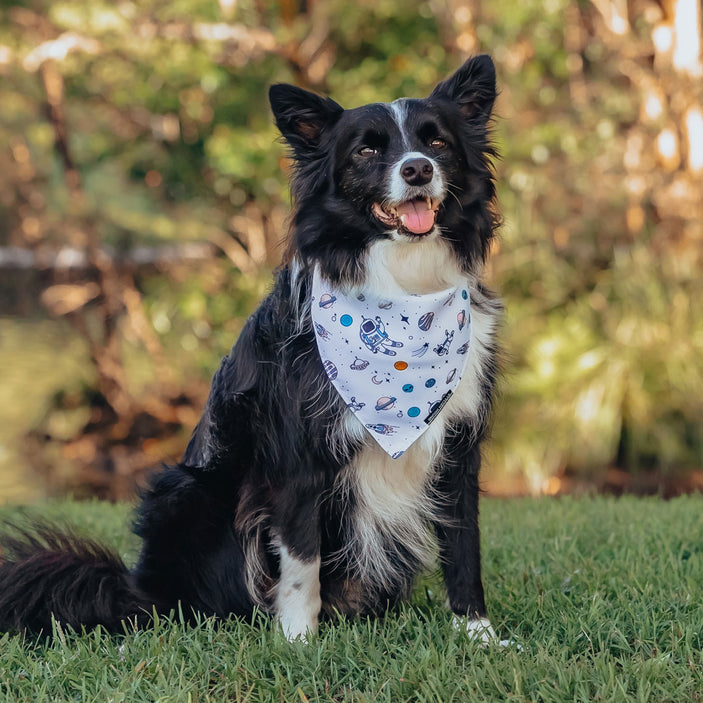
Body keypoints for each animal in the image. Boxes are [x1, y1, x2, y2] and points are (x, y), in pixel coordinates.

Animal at [1, 57, 506, 648]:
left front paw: (479, 635)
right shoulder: (296, 454)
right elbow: (302, 560)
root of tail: (136, 590)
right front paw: (299, 642)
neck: (403, 290)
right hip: (188, 492)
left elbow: (464, 548)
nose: (419, 171)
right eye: (366, 151)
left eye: (437, 142)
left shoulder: (458, 447)